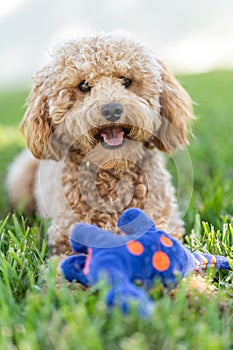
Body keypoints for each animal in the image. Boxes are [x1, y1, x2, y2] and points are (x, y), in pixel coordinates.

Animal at [6, 32, 195, 254]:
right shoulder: (64, 241)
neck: (112, 174)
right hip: (20, 176)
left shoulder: (164, 223)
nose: (112, 110)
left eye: (126, 80)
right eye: (84, 86)